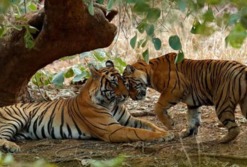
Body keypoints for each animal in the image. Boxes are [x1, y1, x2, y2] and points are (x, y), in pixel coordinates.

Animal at [0, 60, 172, 153]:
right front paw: (163, 136)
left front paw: (165, 131)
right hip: (15, 119)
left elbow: (149, 124)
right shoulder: (112, 129)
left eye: (124, 81)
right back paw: (11, 147)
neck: (110, 103)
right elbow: (139, 132)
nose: (125, 95)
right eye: (114, 83)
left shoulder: (129, 119)